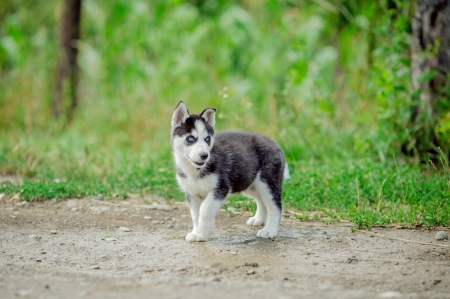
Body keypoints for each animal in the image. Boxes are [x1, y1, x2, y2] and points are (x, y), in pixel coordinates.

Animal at [171, 102, 286, 243]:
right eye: (191, 138)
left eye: (207, 139)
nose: (204, 155)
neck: (194, 170)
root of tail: (275, 143)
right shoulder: (192, 193)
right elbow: (195, 215)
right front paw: (196, 233)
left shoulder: (221, 188)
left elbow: (205, 209)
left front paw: (204, 232)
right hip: (250, 183)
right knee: (262, 201)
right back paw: (259, 219)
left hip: (267, 182)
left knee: (276, 205)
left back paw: (270, 230)